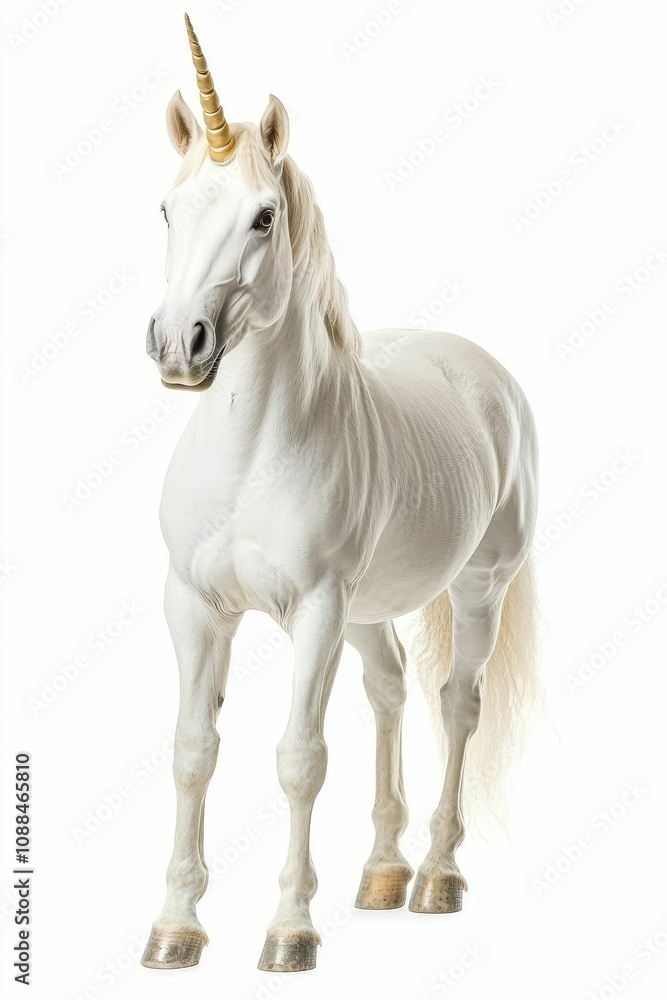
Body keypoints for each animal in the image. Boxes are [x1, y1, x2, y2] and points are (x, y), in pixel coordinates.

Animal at [141, 14, 541, 975]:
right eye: (169, 208)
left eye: (263, 215)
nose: (177, 346)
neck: (251, 455)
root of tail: (481, 370)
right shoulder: (194, 605)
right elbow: (191, 750)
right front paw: (174, 929)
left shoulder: (315, 609)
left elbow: (298, 758)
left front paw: (289, 931)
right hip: (367, 610)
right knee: (390, 690)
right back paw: (383, 874)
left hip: (478, 588)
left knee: (455, 703)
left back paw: (435, 877)